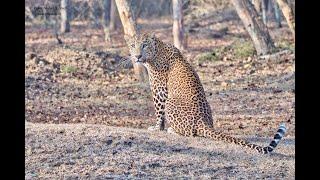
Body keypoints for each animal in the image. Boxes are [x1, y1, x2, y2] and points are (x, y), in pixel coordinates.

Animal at [124, 33, 286, 154]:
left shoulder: (160, 90)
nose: (137, 56)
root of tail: (203, 122)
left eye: (144, 45)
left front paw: (157, 128)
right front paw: (160, 127)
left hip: (171, 102)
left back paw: (172, 130)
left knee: (190, 132)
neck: (157, 50)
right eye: (132, 45)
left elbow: (159, 112)